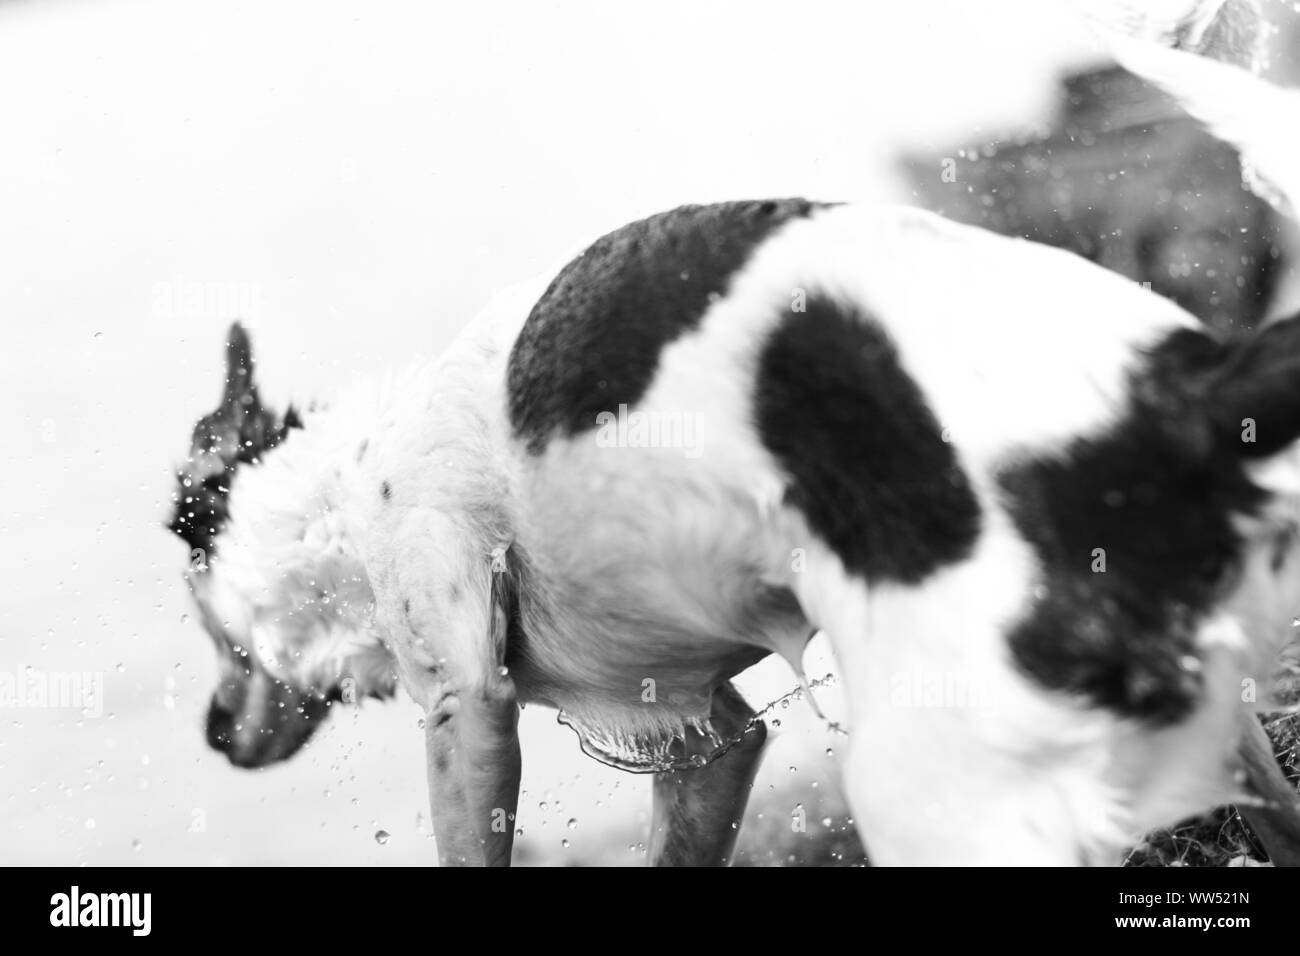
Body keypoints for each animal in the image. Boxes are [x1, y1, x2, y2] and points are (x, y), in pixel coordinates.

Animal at [167, 41, 1300, 868]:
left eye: (203, 613)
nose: (213, 733)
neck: (341, 490)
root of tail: (1175, 390)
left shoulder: (466, 702)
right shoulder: (708, 737)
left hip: (944, 783)